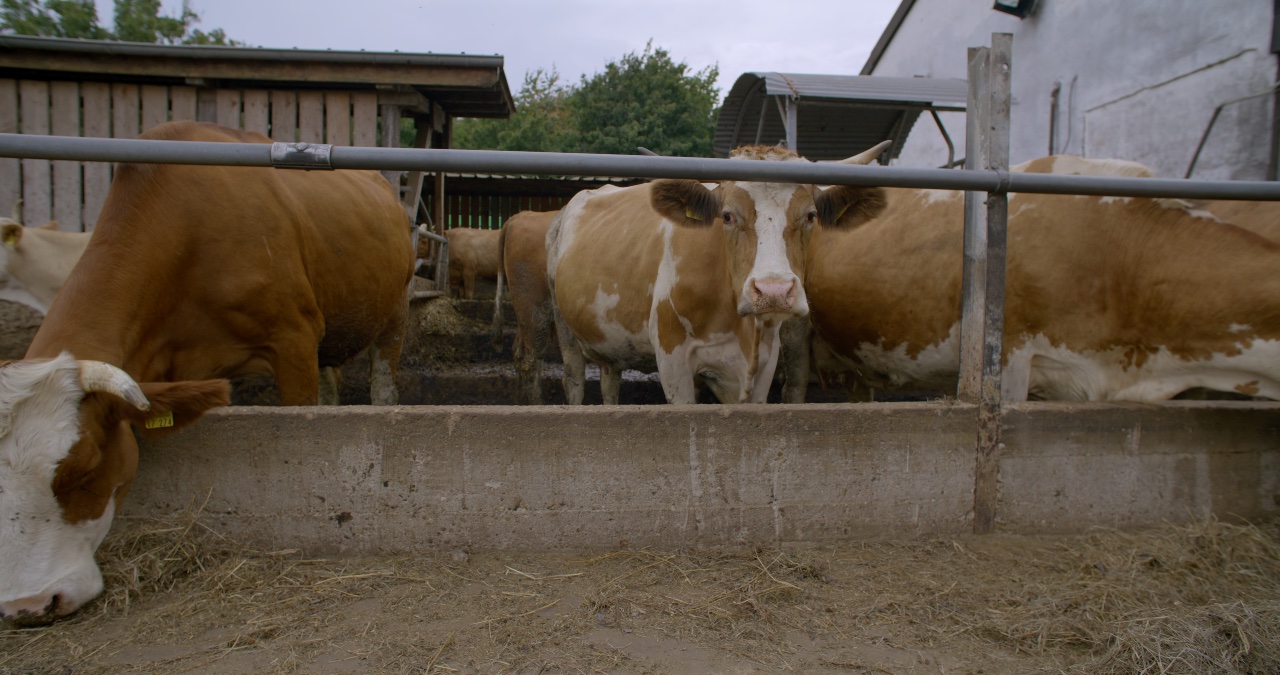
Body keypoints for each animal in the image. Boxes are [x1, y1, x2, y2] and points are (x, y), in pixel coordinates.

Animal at [546, 143, 890, 405]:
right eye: (727, 216)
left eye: (810, 216)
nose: (774, 291)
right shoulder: (673, 361)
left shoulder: (764, 363)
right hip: (565, 329)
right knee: (574, 380)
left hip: (609, 344)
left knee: (609, 380)